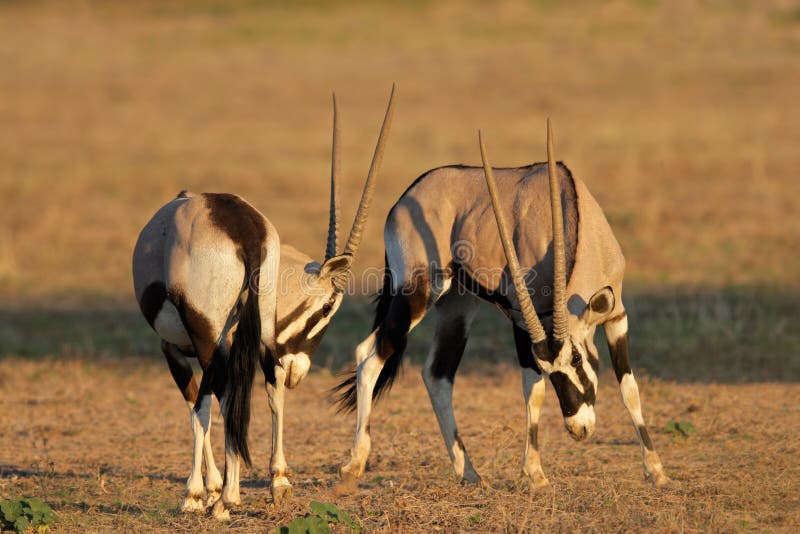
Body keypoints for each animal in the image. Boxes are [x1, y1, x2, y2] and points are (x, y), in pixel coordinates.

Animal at [133, 87, 398, 520]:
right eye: (329, 308)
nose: (299, 372)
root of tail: (245, 231)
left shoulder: (172, 346)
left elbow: (198, 401)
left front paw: (208, 491)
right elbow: (236, 397)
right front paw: (231, 487)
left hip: (205, 335)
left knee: (210, 400)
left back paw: (210, 497)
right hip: (259, 337)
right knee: (268, 384)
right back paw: (276, 483)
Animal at [334, 119, 672, 492]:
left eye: (577, 359)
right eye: (552, 370)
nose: (578, 429)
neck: (571, 216)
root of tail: (406, 197)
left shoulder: (616, 314)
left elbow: (630, 388)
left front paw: (657, 470)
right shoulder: (521, 317)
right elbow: (533, 389)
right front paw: (535, 473)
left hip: (457, 304)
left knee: (437, 373)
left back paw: (468, 472)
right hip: (418, 292)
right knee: (371, 354)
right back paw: (353, 465)